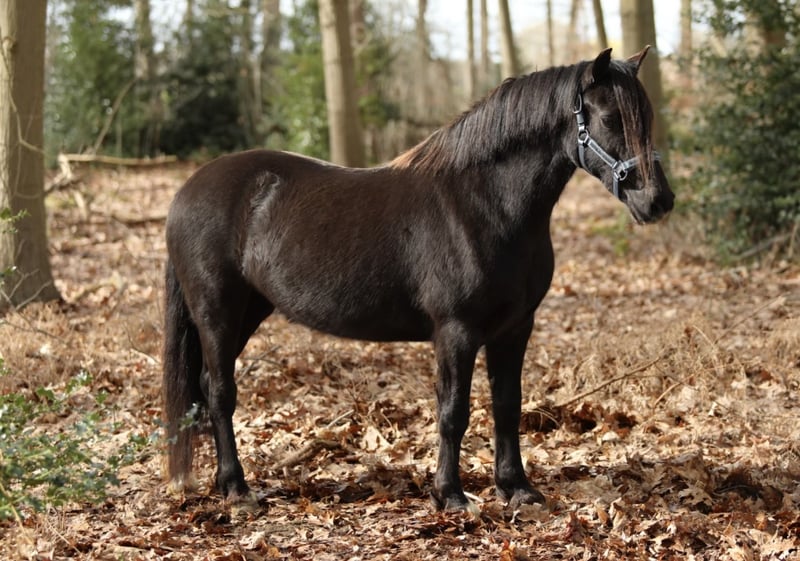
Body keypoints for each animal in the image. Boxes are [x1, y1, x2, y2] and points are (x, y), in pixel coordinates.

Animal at [162, 47, 674, 513]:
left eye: (645, 116)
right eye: (608, 117)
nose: (658, 200)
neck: (485, 205)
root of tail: (188, 191)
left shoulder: (514, 329)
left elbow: (507, 405)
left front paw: (517, 489)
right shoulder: (456, 332)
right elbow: (453, 412)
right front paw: (450, 495)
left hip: (249, 311)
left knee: (207, 387)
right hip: (216, 313)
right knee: (220, 393)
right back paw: (237, 489)